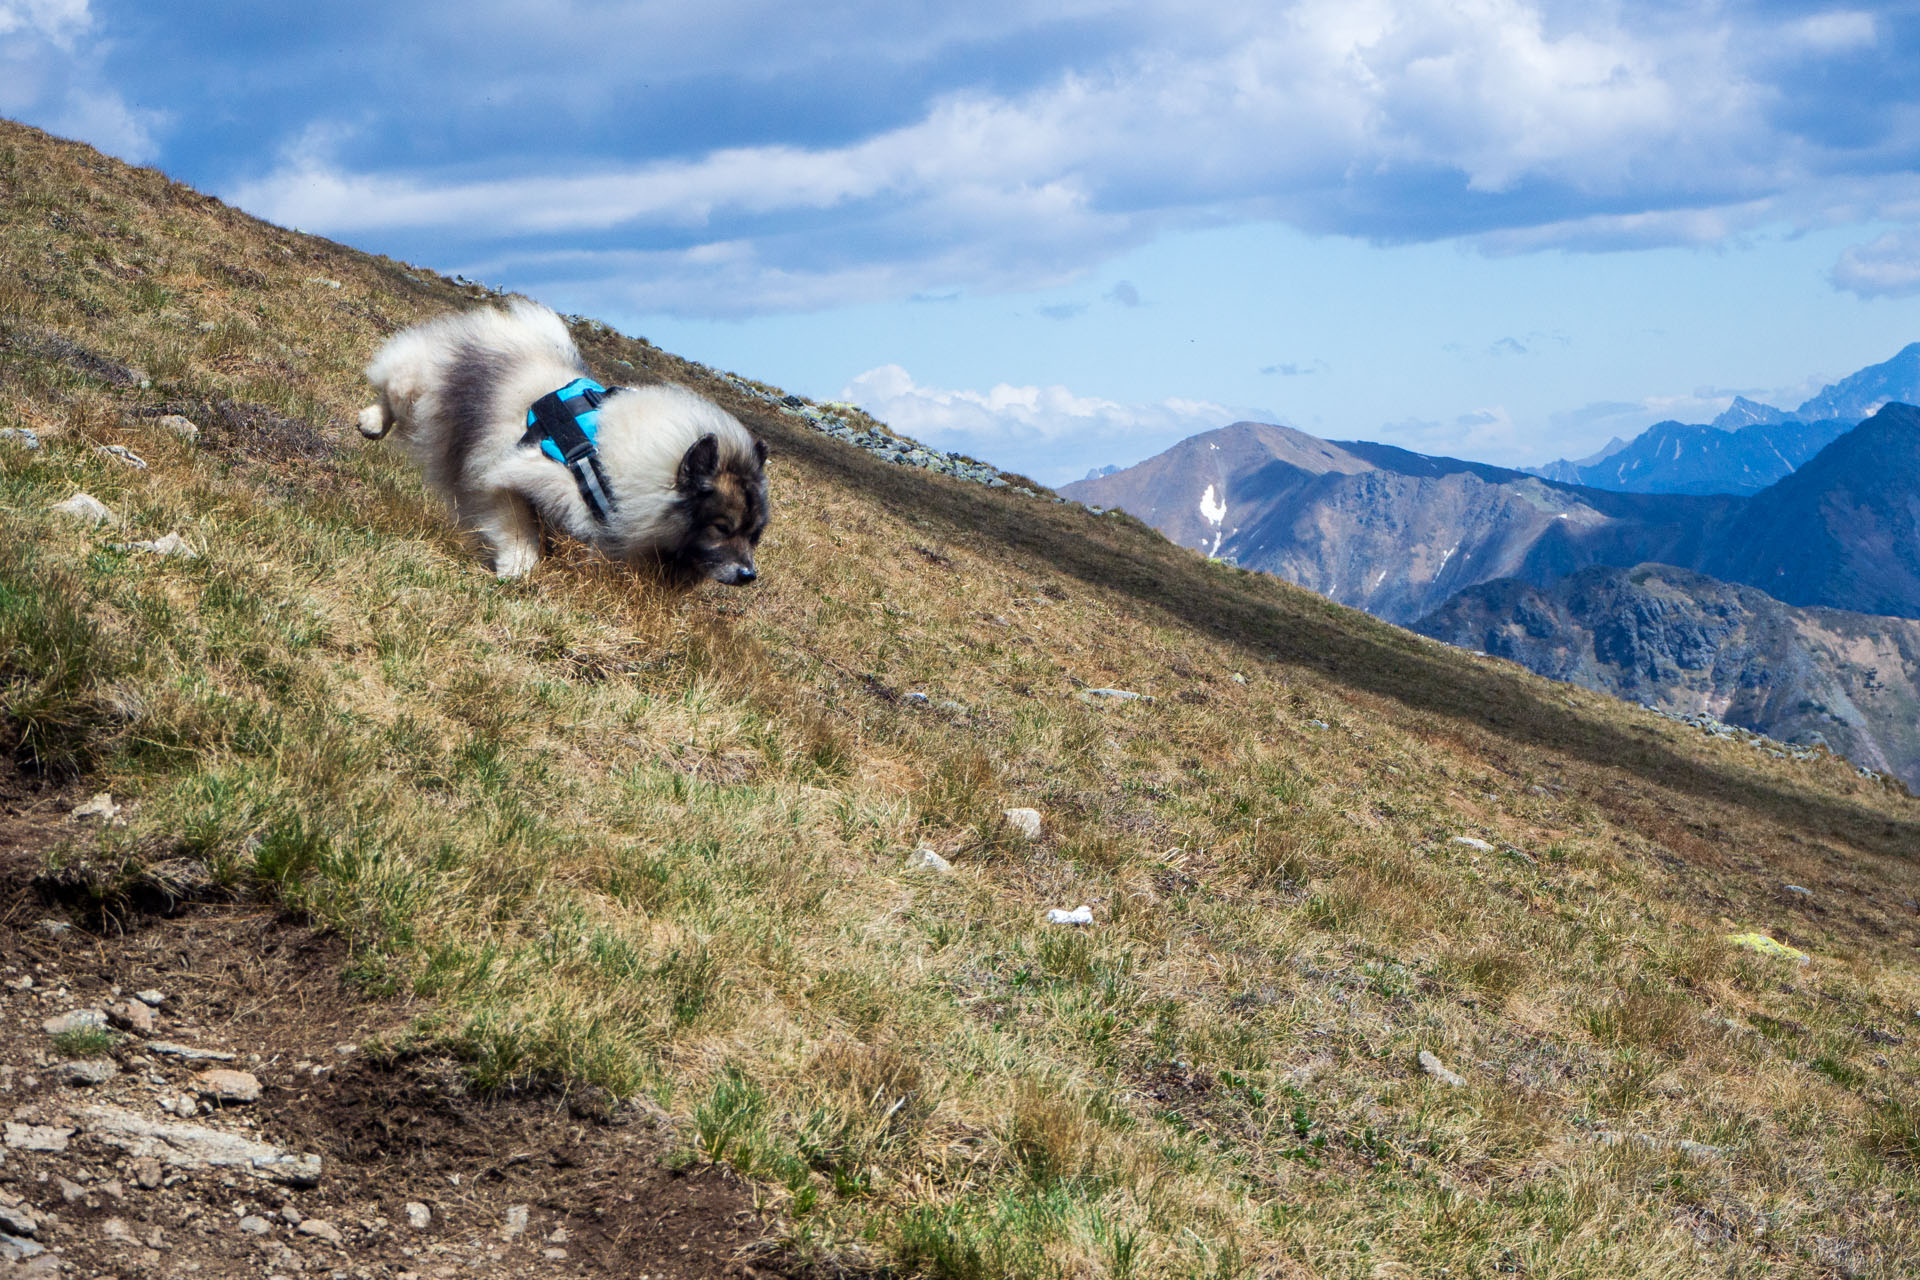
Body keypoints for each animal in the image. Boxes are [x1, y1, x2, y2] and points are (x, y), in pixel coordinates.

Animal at [360, 303, 764, 583]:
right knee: (392, 387)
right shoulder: (514, 475)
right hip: (422, 390)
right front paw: (518, 567)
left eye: (753, 536)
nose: (749, 575)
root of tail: (512, 326)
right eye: (722, 528)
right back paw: (372, 421)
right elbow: (519, 527)